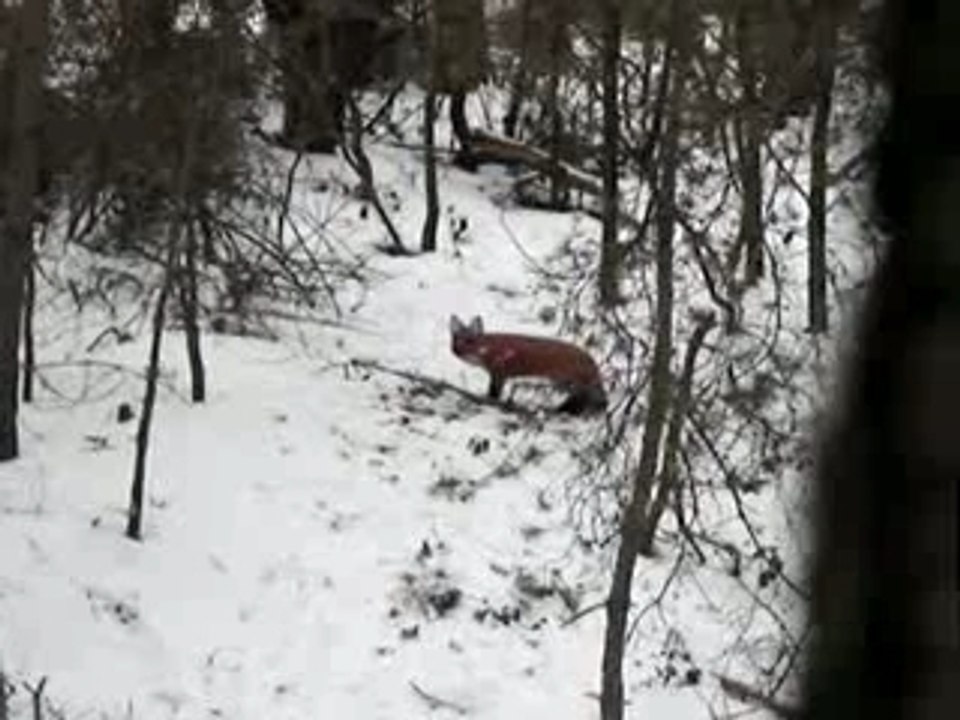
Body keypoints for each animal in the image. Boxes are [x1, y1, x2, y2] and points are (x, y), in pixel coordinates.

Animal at [449, 314, 607, 415]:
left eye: (470, 341)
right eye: (455, 340)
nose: (457, 351)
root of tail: (591, 359)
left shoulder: (500, 373)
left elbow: (494, 394)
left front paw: (489, 401)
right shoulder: (495, 374)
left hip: (570, 383)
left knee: (584, 401)